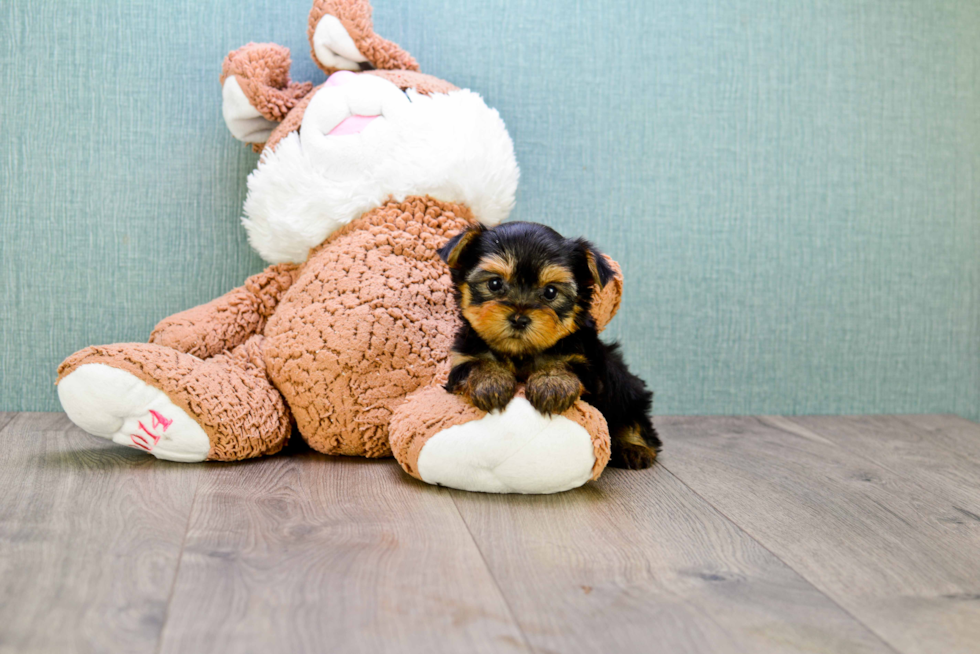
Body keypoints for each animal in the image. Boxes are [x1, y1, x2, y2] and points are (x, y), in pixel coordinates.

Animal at [440, 223, 664, 468]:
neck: (520, 354)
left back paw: (634, 447)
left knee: (635, 417)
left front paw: (551, 384)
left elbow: (565, 365)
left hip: (628, 389)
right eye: (495, 283)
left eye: (550, 292)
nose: (519, 318)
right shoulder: (462, 357)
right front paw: (491, 381)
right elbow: (476, 364)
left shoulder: (589, 366)